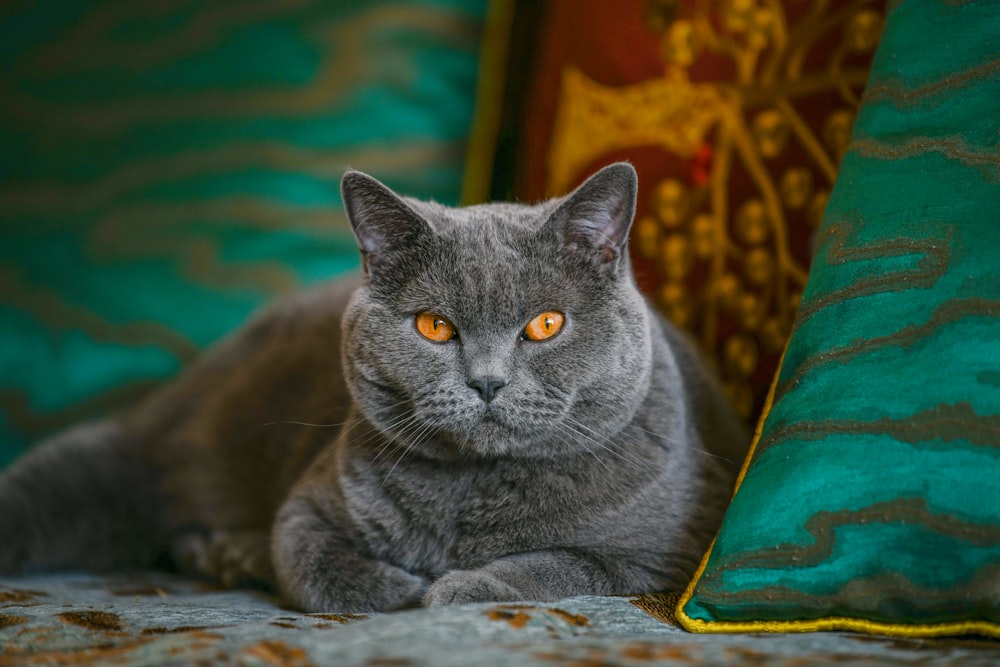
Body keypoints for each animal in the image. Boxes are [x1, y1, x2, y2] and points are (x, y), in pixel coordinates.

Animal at [0, 162, 748, 612]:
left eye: (545, 323)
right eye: (434, 326)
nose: (486, 381)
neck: (470, 491)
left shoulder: (674, 547)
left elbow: (564, 565)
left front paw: (456, 586)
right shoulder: (311, 502)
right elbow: (309, 558)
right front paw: (402, 588)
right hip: (127, 457)